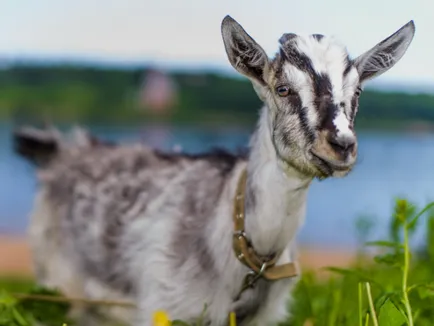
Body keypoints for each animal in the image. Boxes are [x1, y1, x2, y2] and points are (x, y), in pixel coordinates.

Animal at [12, 15, 414, 326]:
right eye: (283, 89)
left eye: (357, 92)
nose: (341, 145)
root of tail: (63, 150)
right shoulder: (165, 305)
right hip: (60, 279)